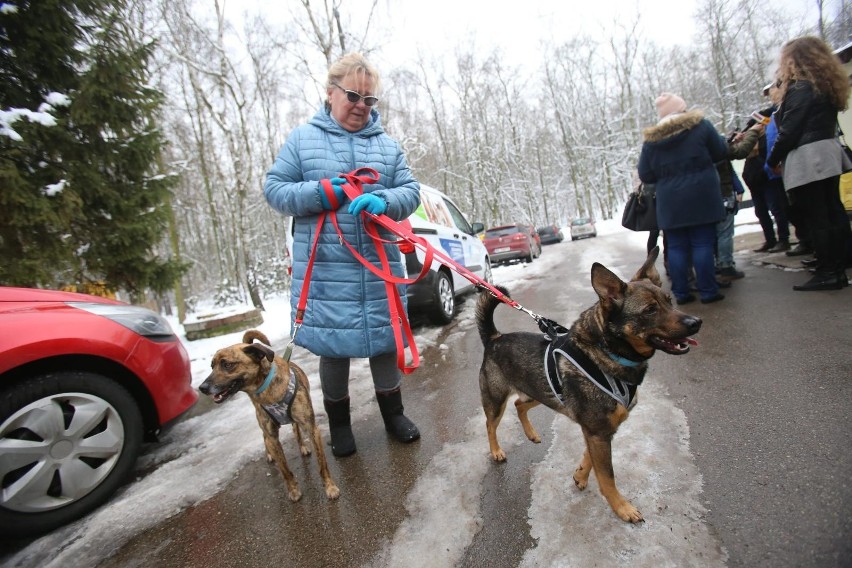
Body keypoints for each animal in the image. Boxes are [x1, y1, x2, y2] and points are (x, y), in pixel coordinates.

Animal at [201, 328, 342, 502]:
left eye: (227, 364)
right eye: (212, 366)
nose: (202, 388)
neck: (266, 388)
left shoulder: (311, 427)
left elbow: (322, 464)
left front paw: (330, 487)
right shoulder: (272, 436)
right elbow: (285, 469)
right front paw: (293, 490)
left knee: (296, 431)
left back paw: (302, 447)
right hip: (262, 423)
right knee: (264, 437)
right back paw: (269, 454)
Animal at [476, 248, 704, 524]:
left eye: (669, 301)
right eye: (650, 310)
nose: (696, 322)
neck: (607, 352)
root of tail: (494, 338)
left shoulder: (598, 431)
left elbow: (590, 459)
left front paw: (581, 475)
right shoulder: (598, 432)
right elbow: (607, 475)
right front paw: (622, 508)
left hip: (540, 392)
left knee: (520, 404)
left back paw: (531, 433)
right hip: (496, 399)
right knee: (490, 425)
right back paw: (496, 451)